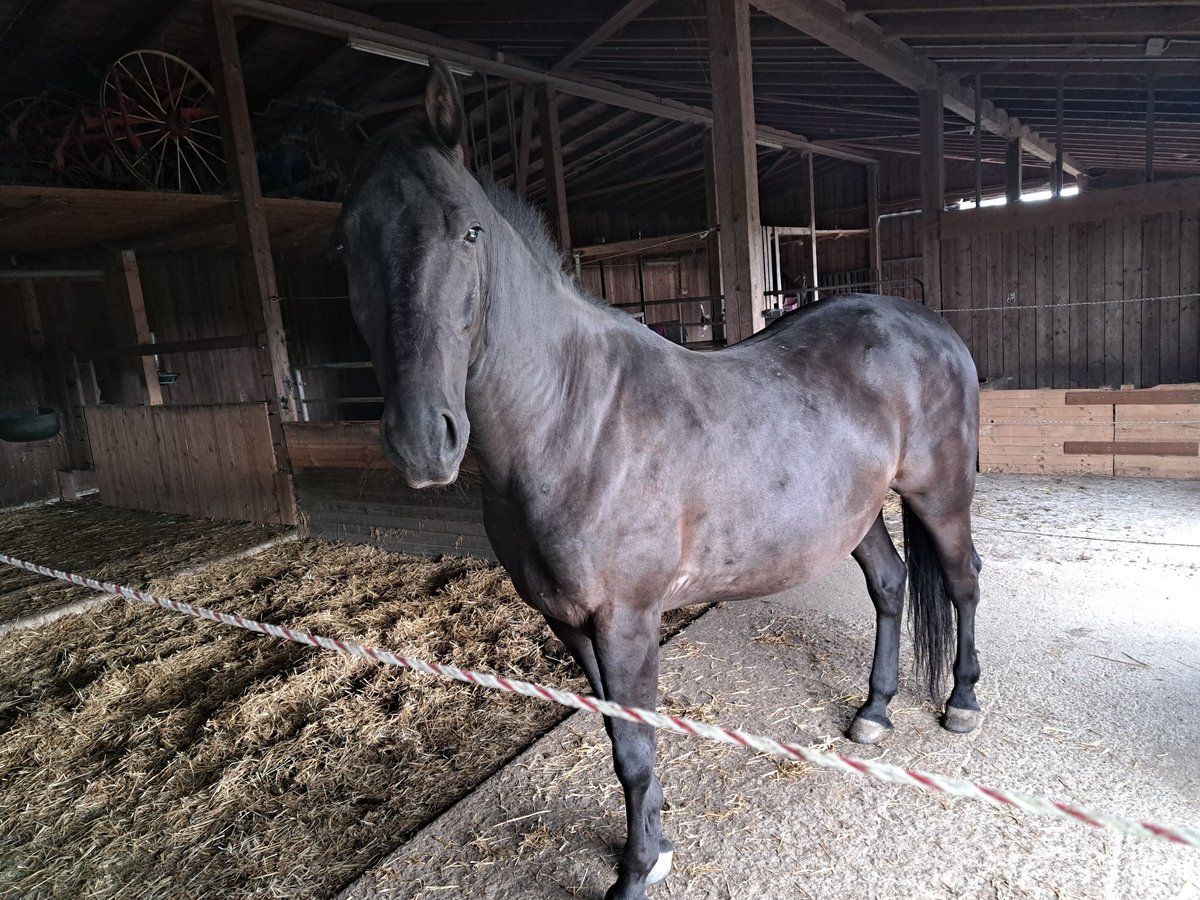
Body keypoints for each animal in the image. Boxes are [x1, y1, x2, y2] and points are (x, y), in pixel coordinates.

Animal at [338, 63, 984, 900]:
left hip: (940, 497)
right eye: (346, 240)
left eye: (467, 231)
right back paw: (873, 711)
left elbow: (638, 746)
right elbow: (619, 738)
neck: (575, 421)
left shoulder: (627, 621)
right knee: (891, 582)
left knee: (963, 582)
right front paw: (652, 839)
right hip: (856, 512)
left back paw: (962, 702)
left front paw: (639, 870)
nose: (423, 440)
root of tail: (930, 327)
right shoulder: (569, 623)